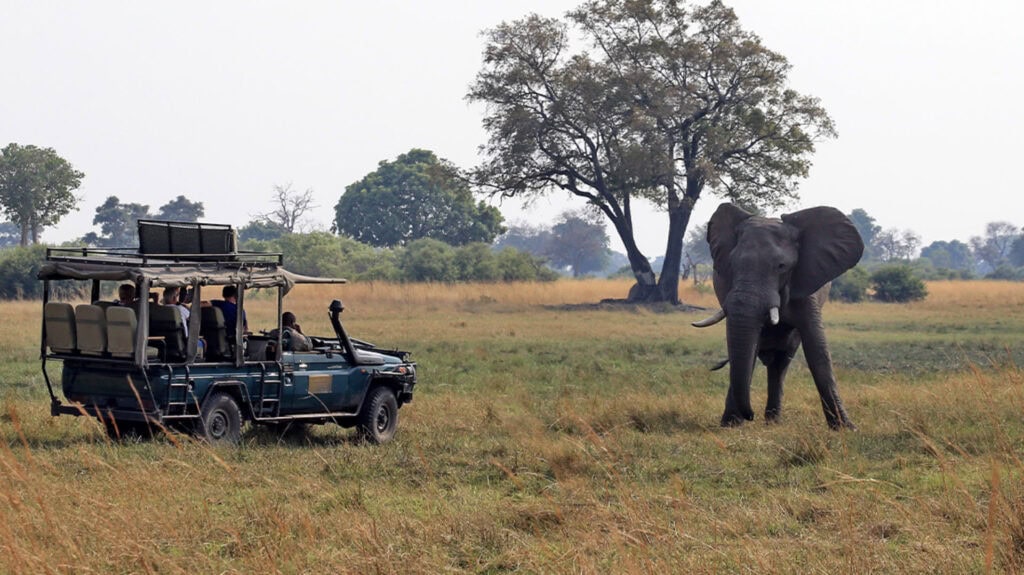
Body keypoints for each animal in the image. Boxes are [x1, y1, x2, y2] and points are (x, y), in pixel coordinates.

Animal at [692, 203, 864, 429]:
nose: (751, 415)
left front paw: (845, 429)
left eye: (781, 266)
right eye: (732, 264)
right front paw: (730, 424)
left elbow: (817, 350)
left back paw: (773, 421)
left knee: (782, 361)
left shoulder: (806, 285)